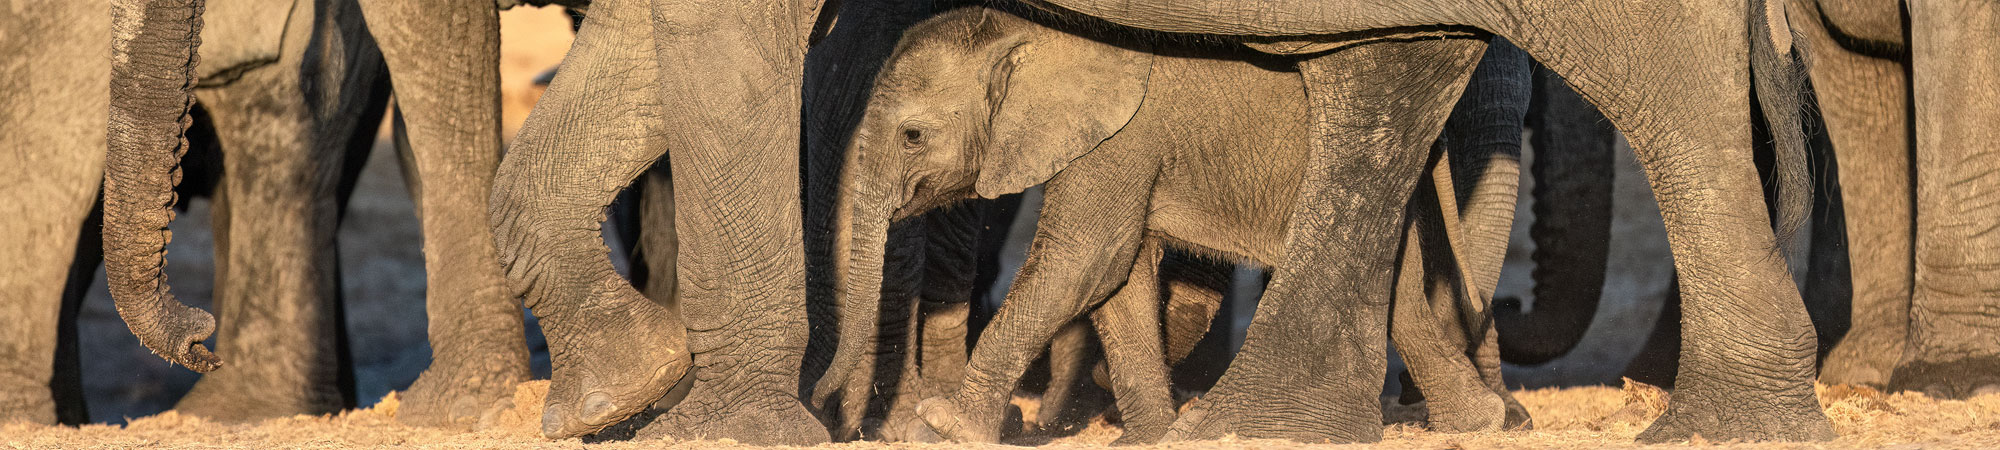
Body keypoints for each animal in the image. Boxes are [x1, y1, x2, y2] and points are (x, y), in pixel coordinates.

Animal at [818, 7, 1547, 443]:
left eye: (913, 136)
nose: (824, 403)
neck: (1029, 32)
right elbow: (1117, 278)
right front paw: (1148, 436)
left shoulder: (1121, 134)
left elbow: (1087, 258)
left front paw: (947, 427)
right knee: (1399, 293)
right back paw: (1478, 422)